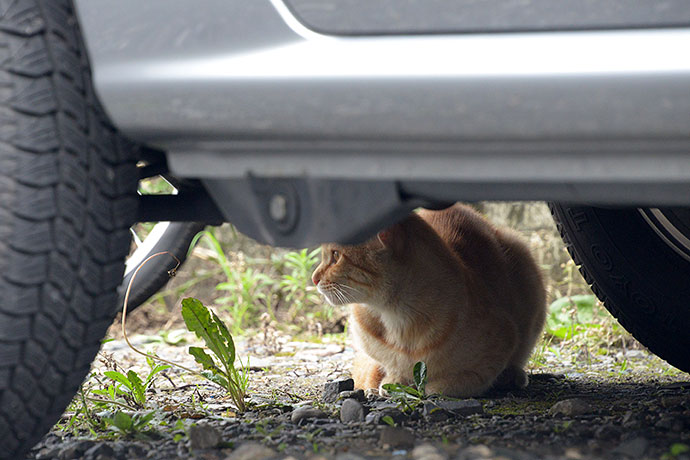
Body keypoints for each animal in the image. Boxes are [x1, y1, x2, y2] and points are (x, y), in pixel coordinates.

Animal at [310, 203, 544, 398]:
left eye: (336, 255)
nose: (314, 278)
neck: (397, 319)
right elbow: (387, 368)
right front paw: (392, 381)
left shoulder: (503, 342)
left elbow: (460, 381)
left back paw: (513, 375)